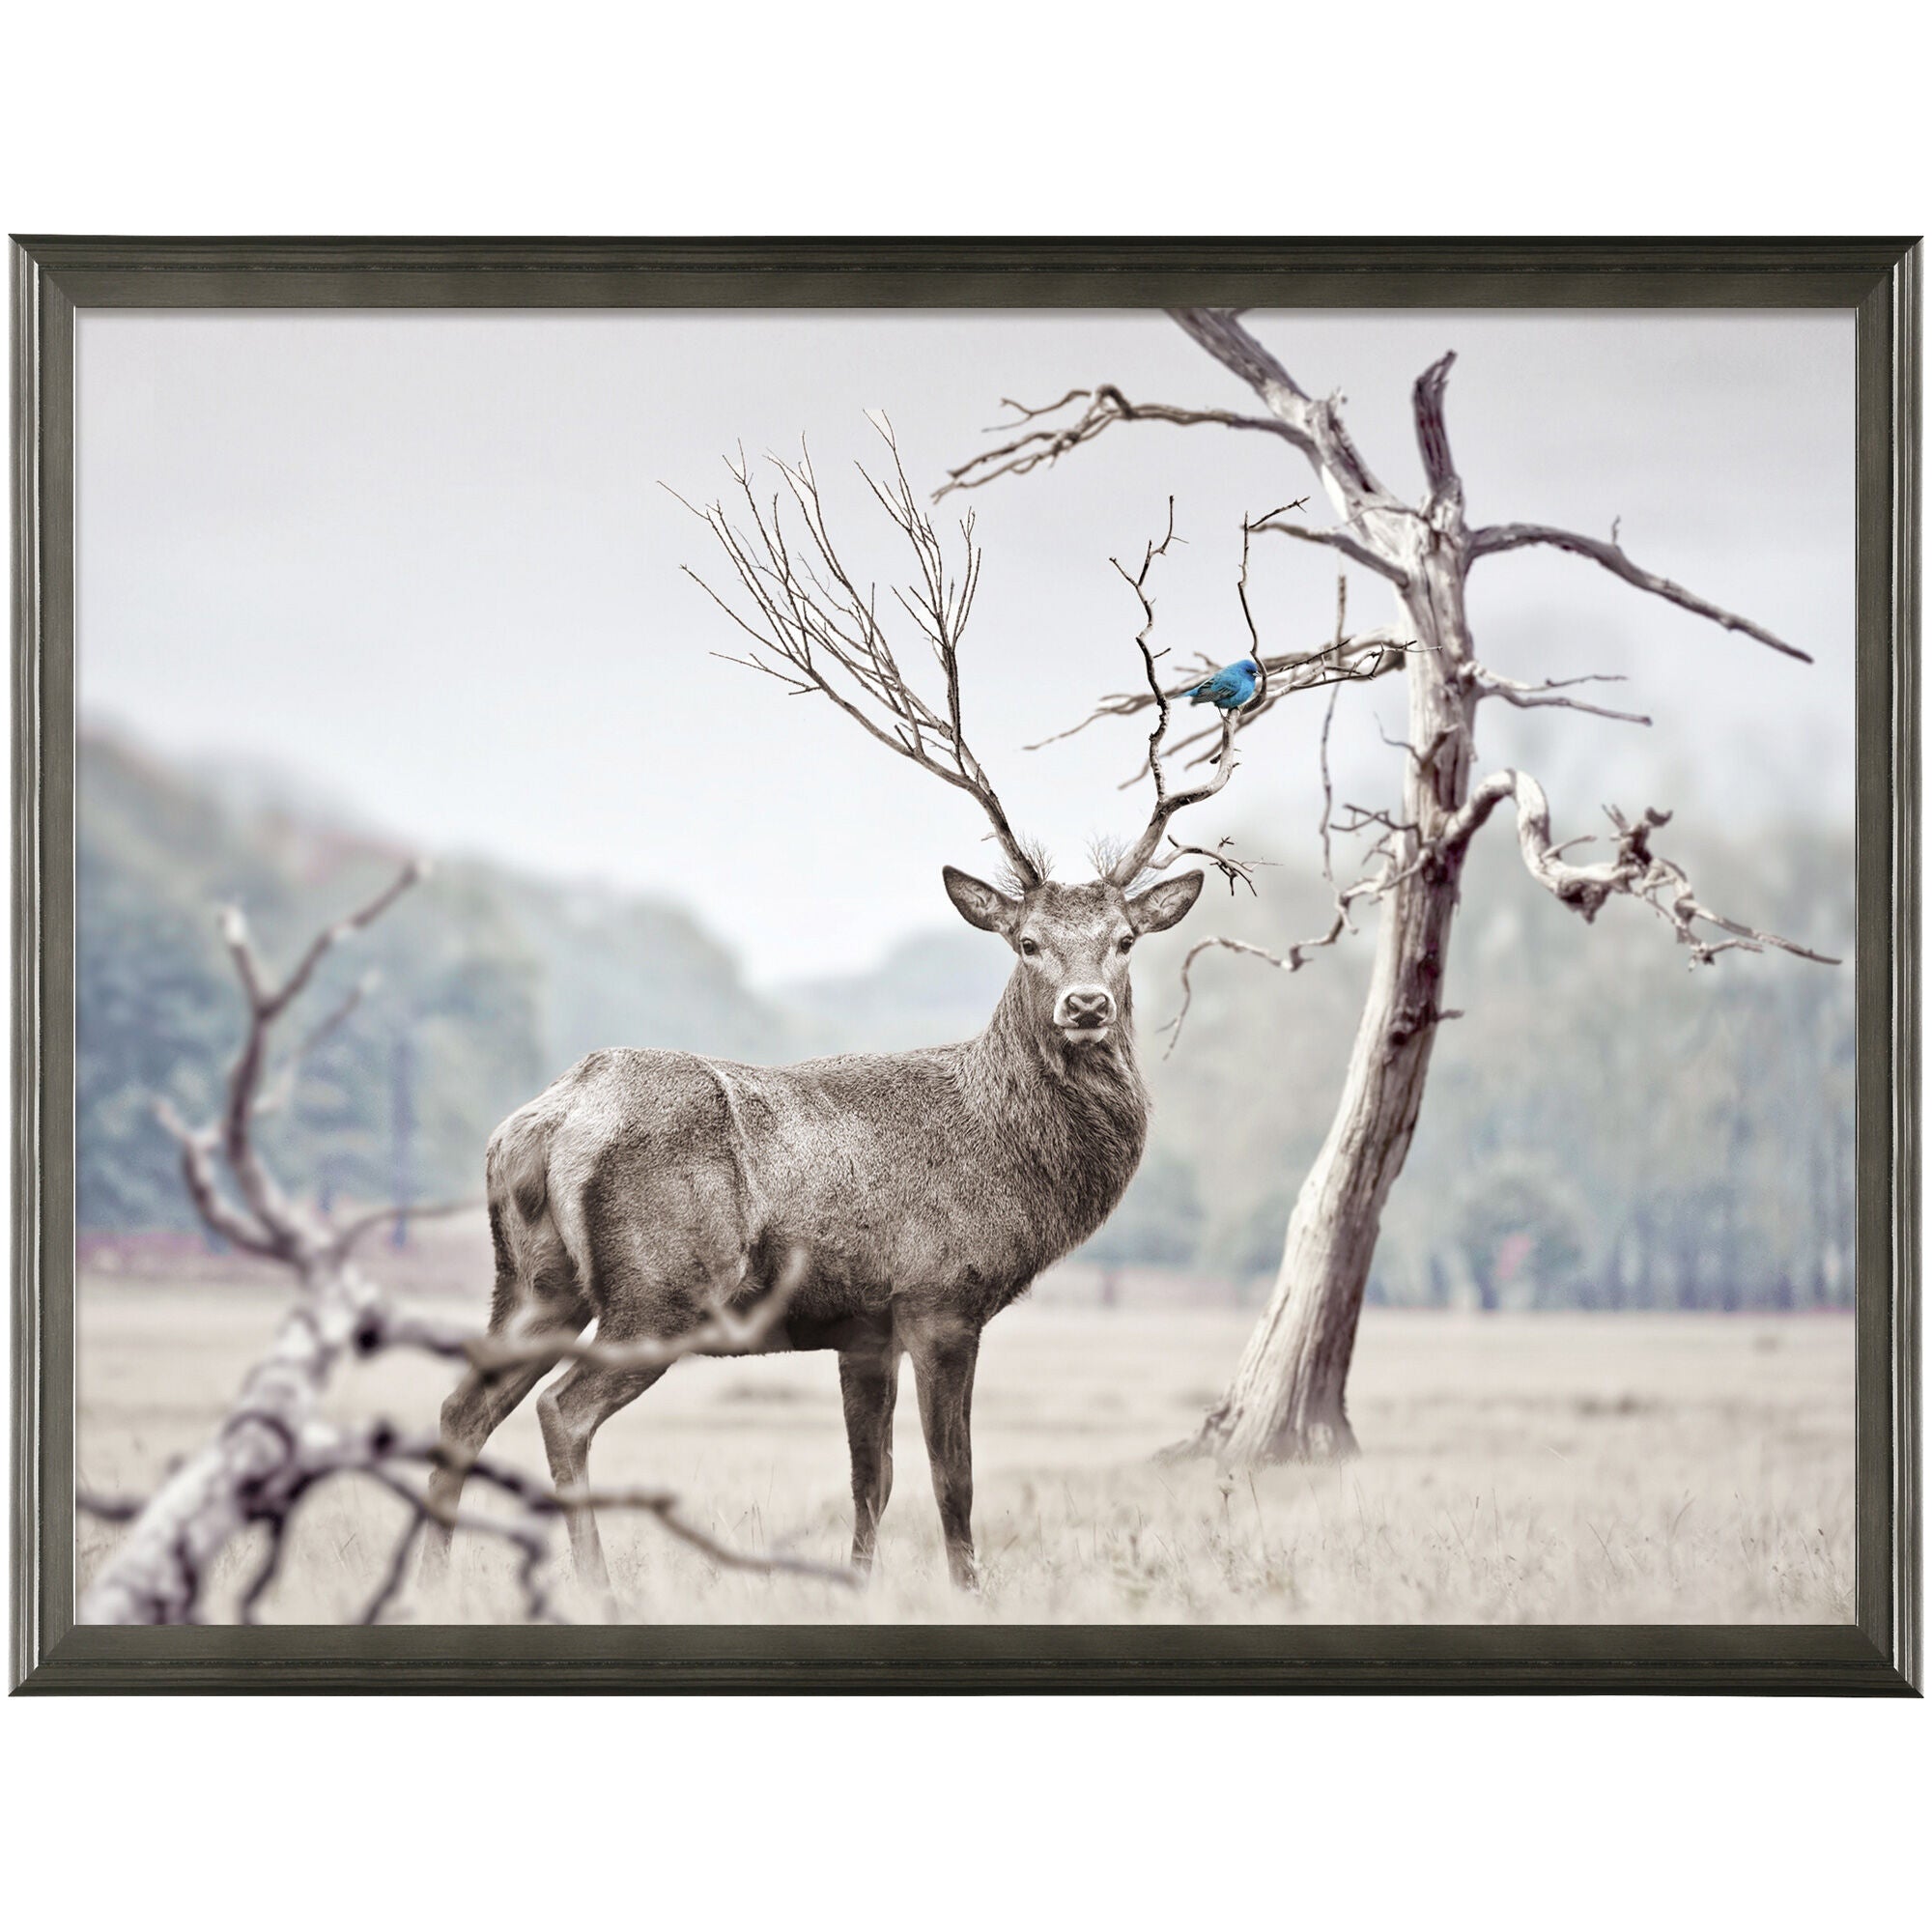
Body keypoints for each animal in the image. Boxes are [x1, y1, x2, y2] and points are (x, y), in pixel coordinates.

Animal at [419, 423, 1252, 1598]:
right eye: (1026, 943)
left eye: (1126, 939)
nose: (1087, 1005)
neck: (1011, 1163)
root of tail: (546, 1118)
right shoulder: (940, 1295)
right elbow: (951, 1480)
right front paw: (969, 1592)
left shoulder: (861, 1326)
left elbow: (872, 1481)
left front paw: (857, 1583)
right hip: (662, 1289)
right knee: (559, 1412)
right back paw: (592, 1580)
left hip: (531, 1279)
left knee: (462, 1403)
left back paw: (435, 1575)